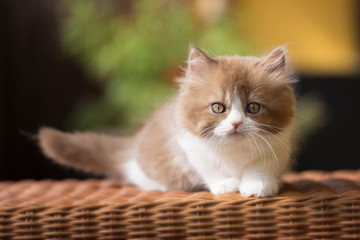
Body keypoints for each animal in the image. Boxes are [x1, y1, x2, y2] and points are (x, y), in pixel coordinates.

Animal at [40, 45, 298, 197]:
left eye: (253, 108)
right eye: (218, 108)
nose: (235, 124)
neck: (235, 152)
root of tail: (134, 144)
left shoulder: (278, 146)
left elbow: (261, 167)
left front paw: (258, 185)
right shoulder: (190, 145)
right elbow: (212, 168)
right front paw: (227, 184)